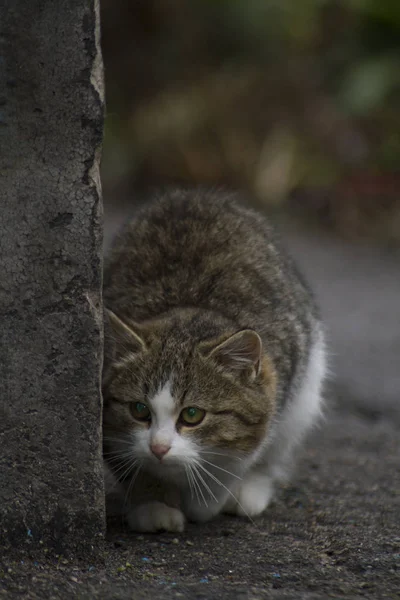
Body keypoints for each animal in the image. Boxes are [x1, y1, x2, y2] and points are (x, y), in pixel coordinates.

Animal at [102, 190, 324, 532]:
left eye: (192, 415)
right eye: (139, 410)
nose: (158, 447)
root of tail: (190, 193)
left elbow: (239, 456)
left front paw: (205, 501)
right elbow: (133, 465)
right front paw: (153, 503)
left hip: (306, 393)